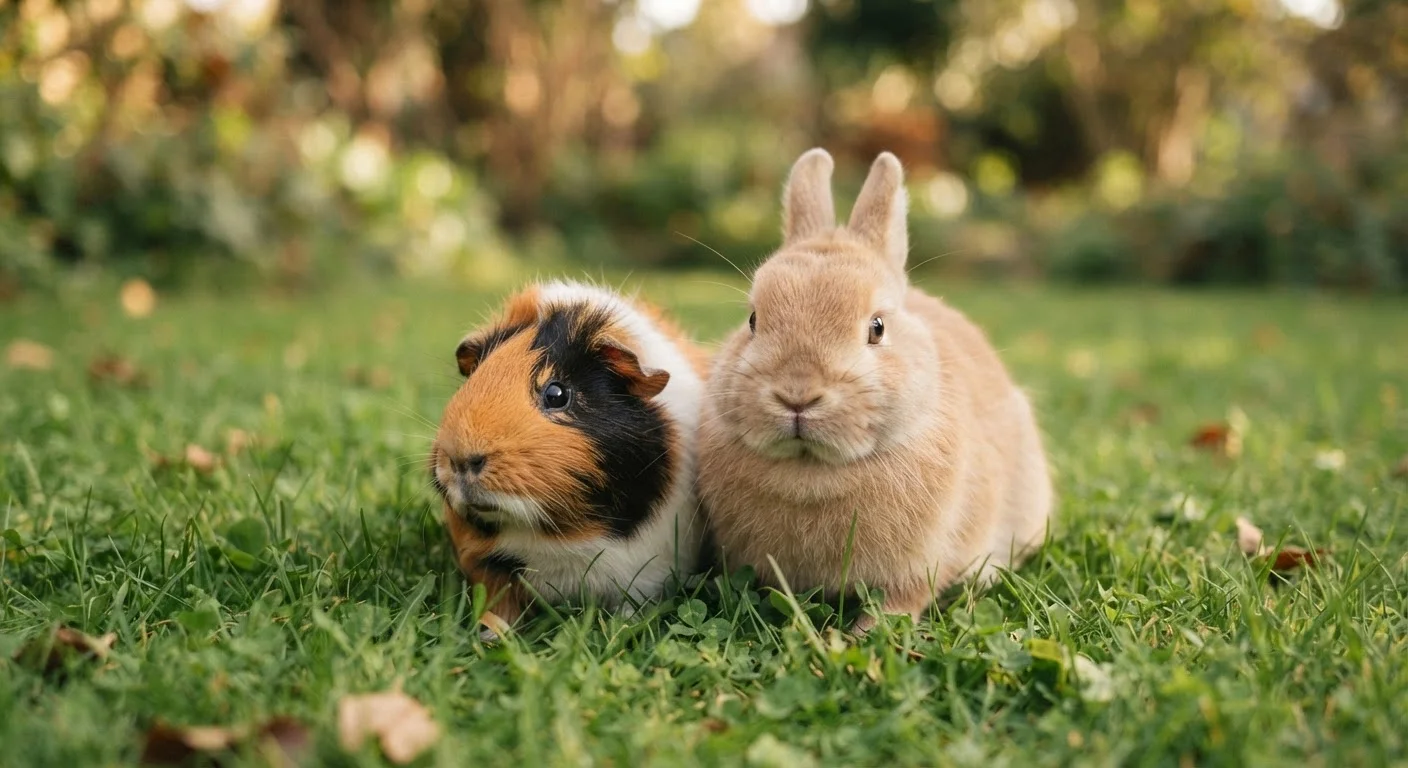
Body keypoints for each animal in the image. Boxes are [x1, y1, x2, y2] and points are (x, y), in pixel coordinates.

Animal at [430, 280, 709, 636]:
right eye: (475, 377)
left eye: (557, 394)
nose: (461, 460)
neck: (559, 535)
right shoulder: (489, 568)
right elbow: (499, 606)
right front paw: (492, 637)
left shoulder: (644, 574)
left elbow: (630, 606)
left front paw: (618, 629)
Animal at [697, 149, 1053, 632]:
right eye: (753, 321)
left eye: (877, 328)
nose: (797, 394)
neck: (812, 470)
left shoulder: (915, 569)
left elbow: (900, 603)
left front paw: (856, 637)